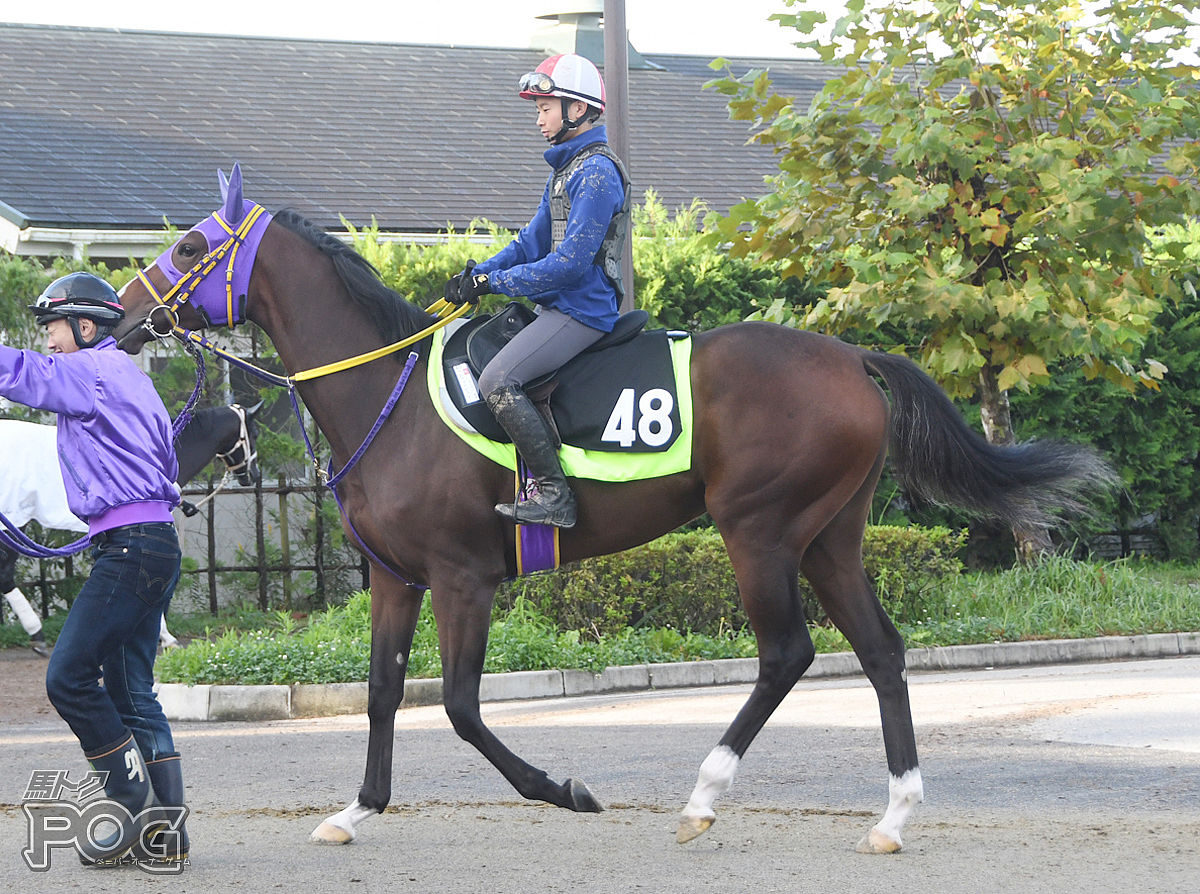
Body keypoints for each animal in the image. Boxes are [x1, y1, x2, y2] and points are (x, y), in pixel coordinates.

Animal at [114, 168, 1113, 849]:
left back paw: (706, 795)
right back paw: (893, 814)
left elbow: (462, 706)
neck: (387, 400)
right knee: (881, 652)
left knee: (787, 653)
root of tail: (849, 354)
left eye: (193, 248)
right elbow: (384, 694)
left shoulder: (464, 579)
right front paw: (356, 809)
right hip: (831, 536)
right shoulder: (396, 580)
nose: (120, 312)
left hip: (760, 531)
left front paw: (563, 789)